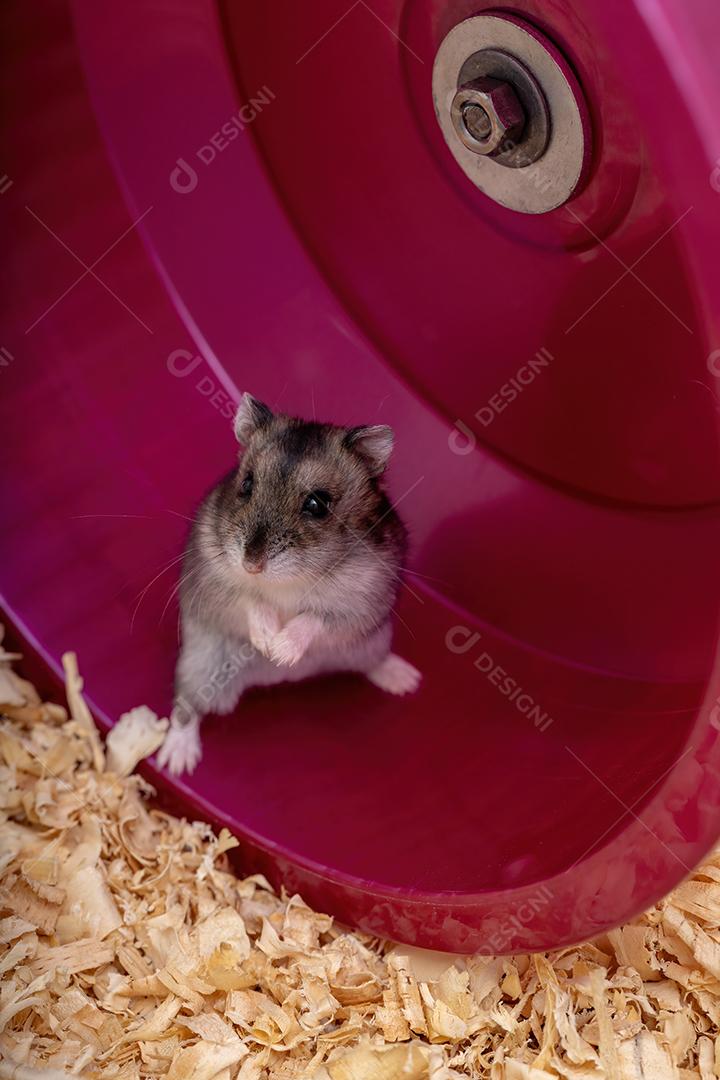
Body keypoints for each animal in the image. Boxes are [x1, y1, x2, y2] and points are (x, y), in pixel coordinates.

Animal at [157, 392, 421, 775]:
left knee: (373, 662)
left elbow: (314, 618)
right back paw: (176, 762)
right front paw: (268, 643)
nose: (251, 564)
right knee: (186, 708)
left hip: (373, 641)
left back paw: (406, 680)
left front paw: (282, 653)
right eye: (246, 484)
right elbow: (250, 600)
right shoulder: (215, 580)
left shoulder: (360, 601)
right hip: (198, 665)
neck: (288, 579)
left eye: (317, 504)